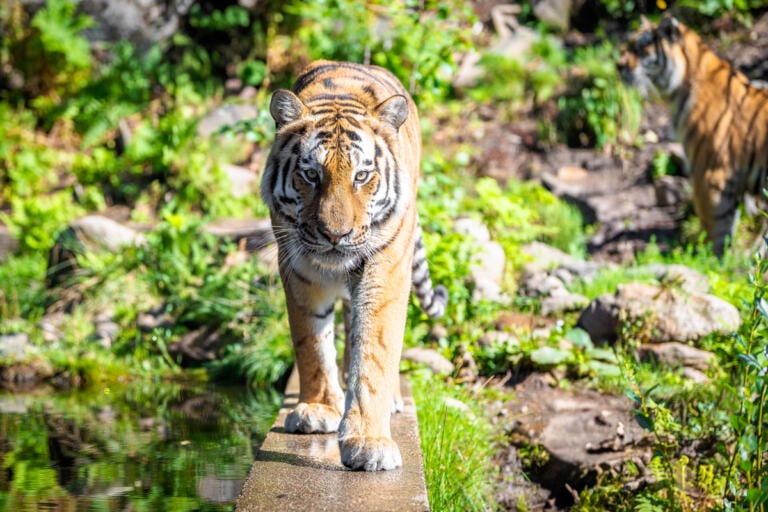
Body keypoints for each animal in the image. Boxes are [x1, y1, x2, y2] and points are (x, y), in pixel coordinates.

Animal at [260, 61, 448, 472]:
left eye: (361, 176)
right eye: (311, 174)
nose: (336, 235)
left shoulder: (384, 272)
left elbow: (374, 352)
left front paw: (368, 441)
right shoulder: (298, 271)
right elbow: (311, 344)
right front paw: (318, 408)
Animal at [616, 15, 768, 256]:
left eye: (640, 47)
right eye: (627, 45)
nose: (618, 66)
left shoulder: (709, 174)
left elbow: (717, 228)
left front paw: (714, 260)